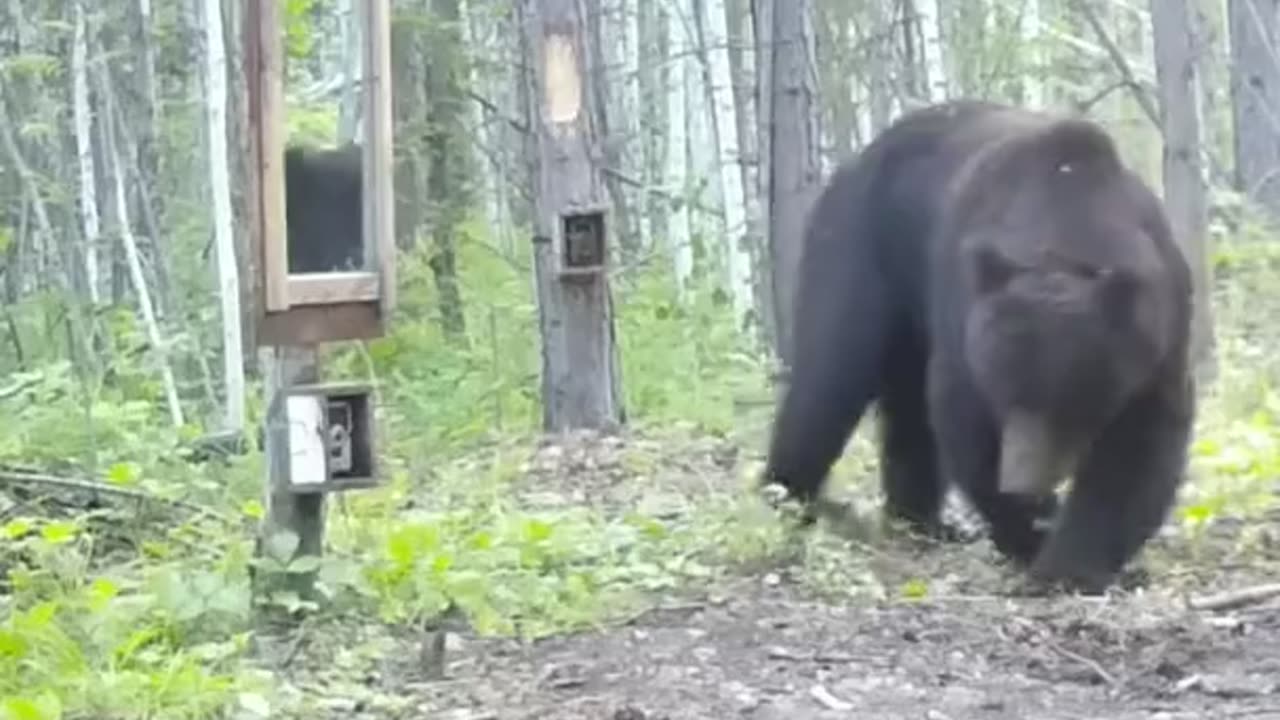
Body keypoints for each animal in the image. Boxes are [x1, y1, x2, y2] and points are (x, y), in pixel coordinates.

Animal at [762, 99, 1196, 594]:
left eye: (1068, 400)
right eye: (1006, 394)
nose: (1021, 483)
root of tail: (859, 157)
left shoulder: (1159, 336)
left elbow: (1140, 443)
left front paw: (1073, 562)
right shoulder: (965, 312)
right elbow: (965, 420)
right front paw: (1031, 533)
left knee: (906, 407)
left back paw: (921, 519)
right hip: (860, 246)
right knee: (830, 378)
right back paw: (789, 494)